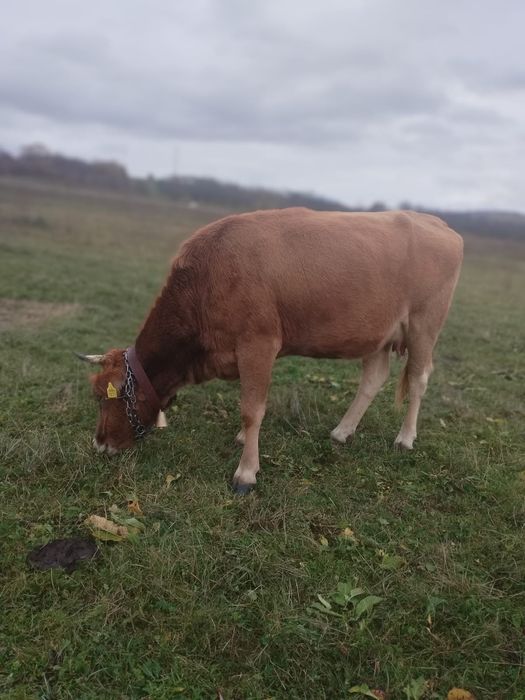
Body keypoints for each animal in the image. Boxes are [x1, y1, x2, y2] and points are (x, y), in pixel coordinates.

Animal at [77, 208, 463, 494]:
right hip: (378, 332)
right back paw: (342, 432)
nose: (99, 444)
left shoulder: (258, 343)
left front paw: (246, 472)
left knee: (418, 378)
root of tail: (438, 224)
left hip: (424, 324)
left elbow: (252, 409)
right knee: (374, 378)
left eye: (105, 398)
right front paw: (241, 440)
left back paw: (405, 438)